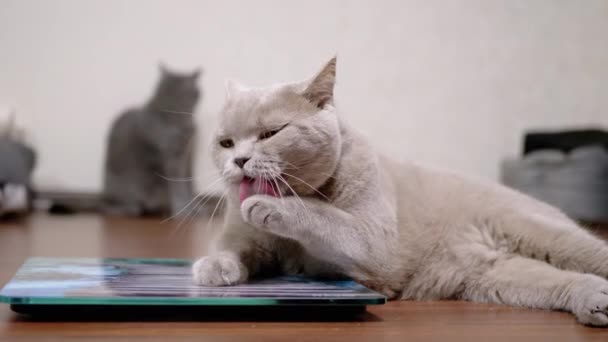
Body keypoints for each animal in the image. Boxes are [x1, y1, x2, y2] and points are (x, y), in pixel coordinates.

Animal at [103, 64, 201, 216]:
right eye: (162, 88)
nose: (168, 103)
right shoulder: (171, 156)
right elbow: (178, 185)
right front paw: (182, 209)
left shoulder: (186, 155)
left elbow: (188, 183)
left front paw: (195, 208)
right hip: (124, 186)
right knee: (125, 206)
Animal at [194, 58, 608, 326]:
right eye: (226, 143)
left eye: (270, 134)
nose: (240, 160)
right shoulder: (246, 239)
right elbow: (233, 249)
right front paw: (212, 266)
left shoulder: (375, 244)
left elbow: (322, 215)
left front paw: (270, 205)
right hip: (496, 279)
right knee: (558, 282)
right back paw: (594, 300)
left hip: (548, 235)